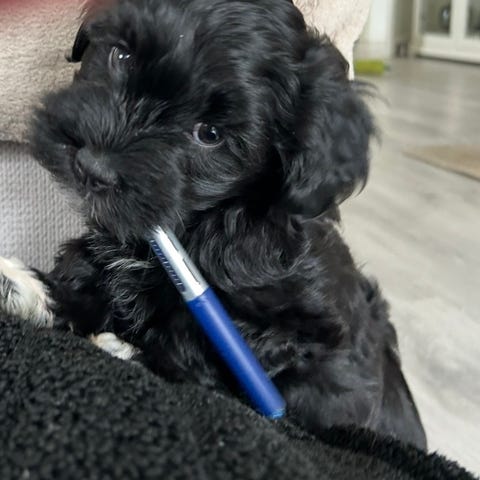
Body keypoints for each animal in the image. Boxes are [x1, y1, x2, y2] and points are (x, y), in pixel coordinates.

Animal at [0, 0, 426, 449]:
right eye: (121, 56)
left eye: (210, 134)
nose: (92, 168)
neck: (204, 225)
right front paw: (30, 288)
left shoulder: (300, 336)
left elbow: (201, 356)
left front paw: (130, 353)